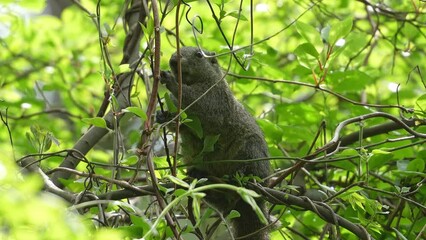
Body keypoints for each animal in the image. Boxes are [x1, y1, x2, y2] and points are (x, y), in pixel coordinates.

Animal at [158, 47, 272, 240]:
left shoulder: (215, 97)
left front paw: (171, 80)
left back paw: (242, 177)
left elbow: (202, 107)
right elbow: (180, 124)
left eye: (199, 55)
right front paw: (161, 116)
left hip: (251, 150)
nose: (173, 60)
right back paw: (198, 176)